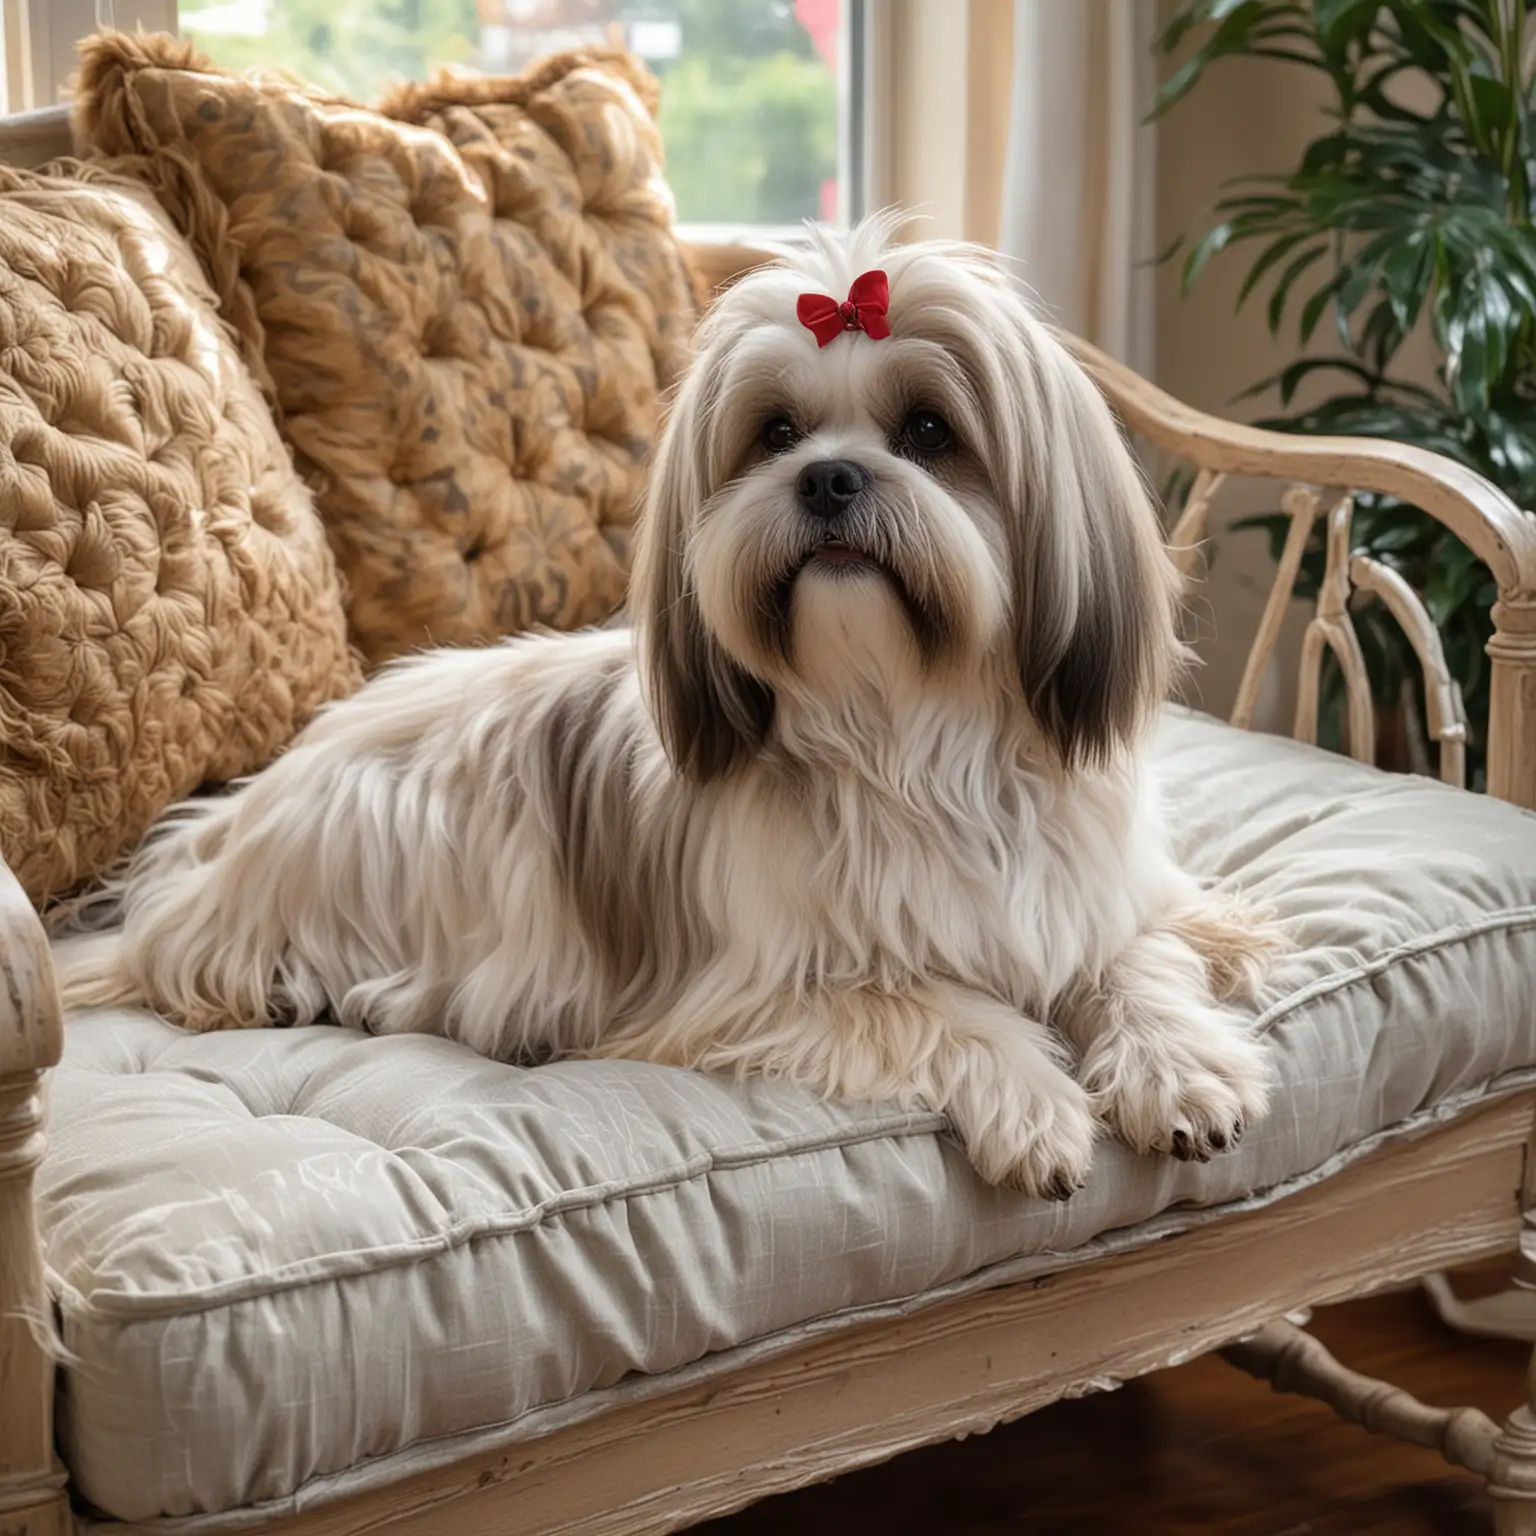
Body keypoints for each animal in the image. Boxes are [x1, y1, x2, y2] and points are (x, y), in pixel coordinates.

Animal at [59, 216, 1277, 1198]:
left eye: (930, 431)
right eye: (776, 433)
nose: (828, 477)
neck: (908, 730)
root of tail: (224, 835)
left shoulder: (1098, 894)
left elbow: (1138, 962)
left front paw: (1183, 1071)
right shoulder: (758, 989)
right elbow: (943, 1006)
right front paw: (1034, 1107)